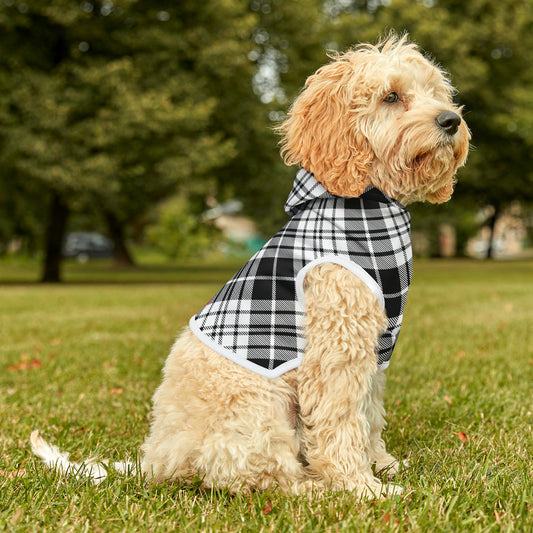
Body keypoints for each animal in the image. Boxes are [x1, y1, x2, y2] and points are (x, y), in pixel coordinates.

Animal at [31, 35, 468, 496]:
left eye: (435, 92)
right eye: (391, 96)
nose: (451, 120)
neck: (368, 204)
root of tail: (157, 460)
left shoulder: (374, 350)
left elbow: (369, 414)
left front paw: (382, 464)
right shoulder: (336, 347)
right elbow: (341, 421)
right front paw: (361, 487)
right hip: (259, 408)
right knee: (258, 475)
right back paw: (312, 487)